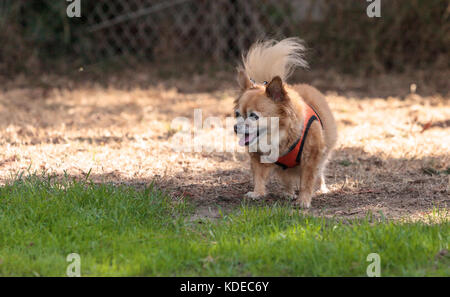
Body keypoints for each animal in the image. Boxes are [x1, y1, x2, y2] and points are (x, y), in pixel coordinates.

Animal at [234, 37, 336, 207]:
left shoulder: (312, 156)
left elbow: (307, 180)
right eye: (237, 114)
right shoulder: (258, 156)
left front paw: (303, 200)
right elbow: (259, 176)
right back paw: (288, 193)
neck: (278, 135)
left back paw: (321, 188)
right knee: (287, 178)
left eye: (253, 116)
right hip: (285, 168)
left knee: (319, 172)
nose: (235, 127)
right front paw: (257, 193)